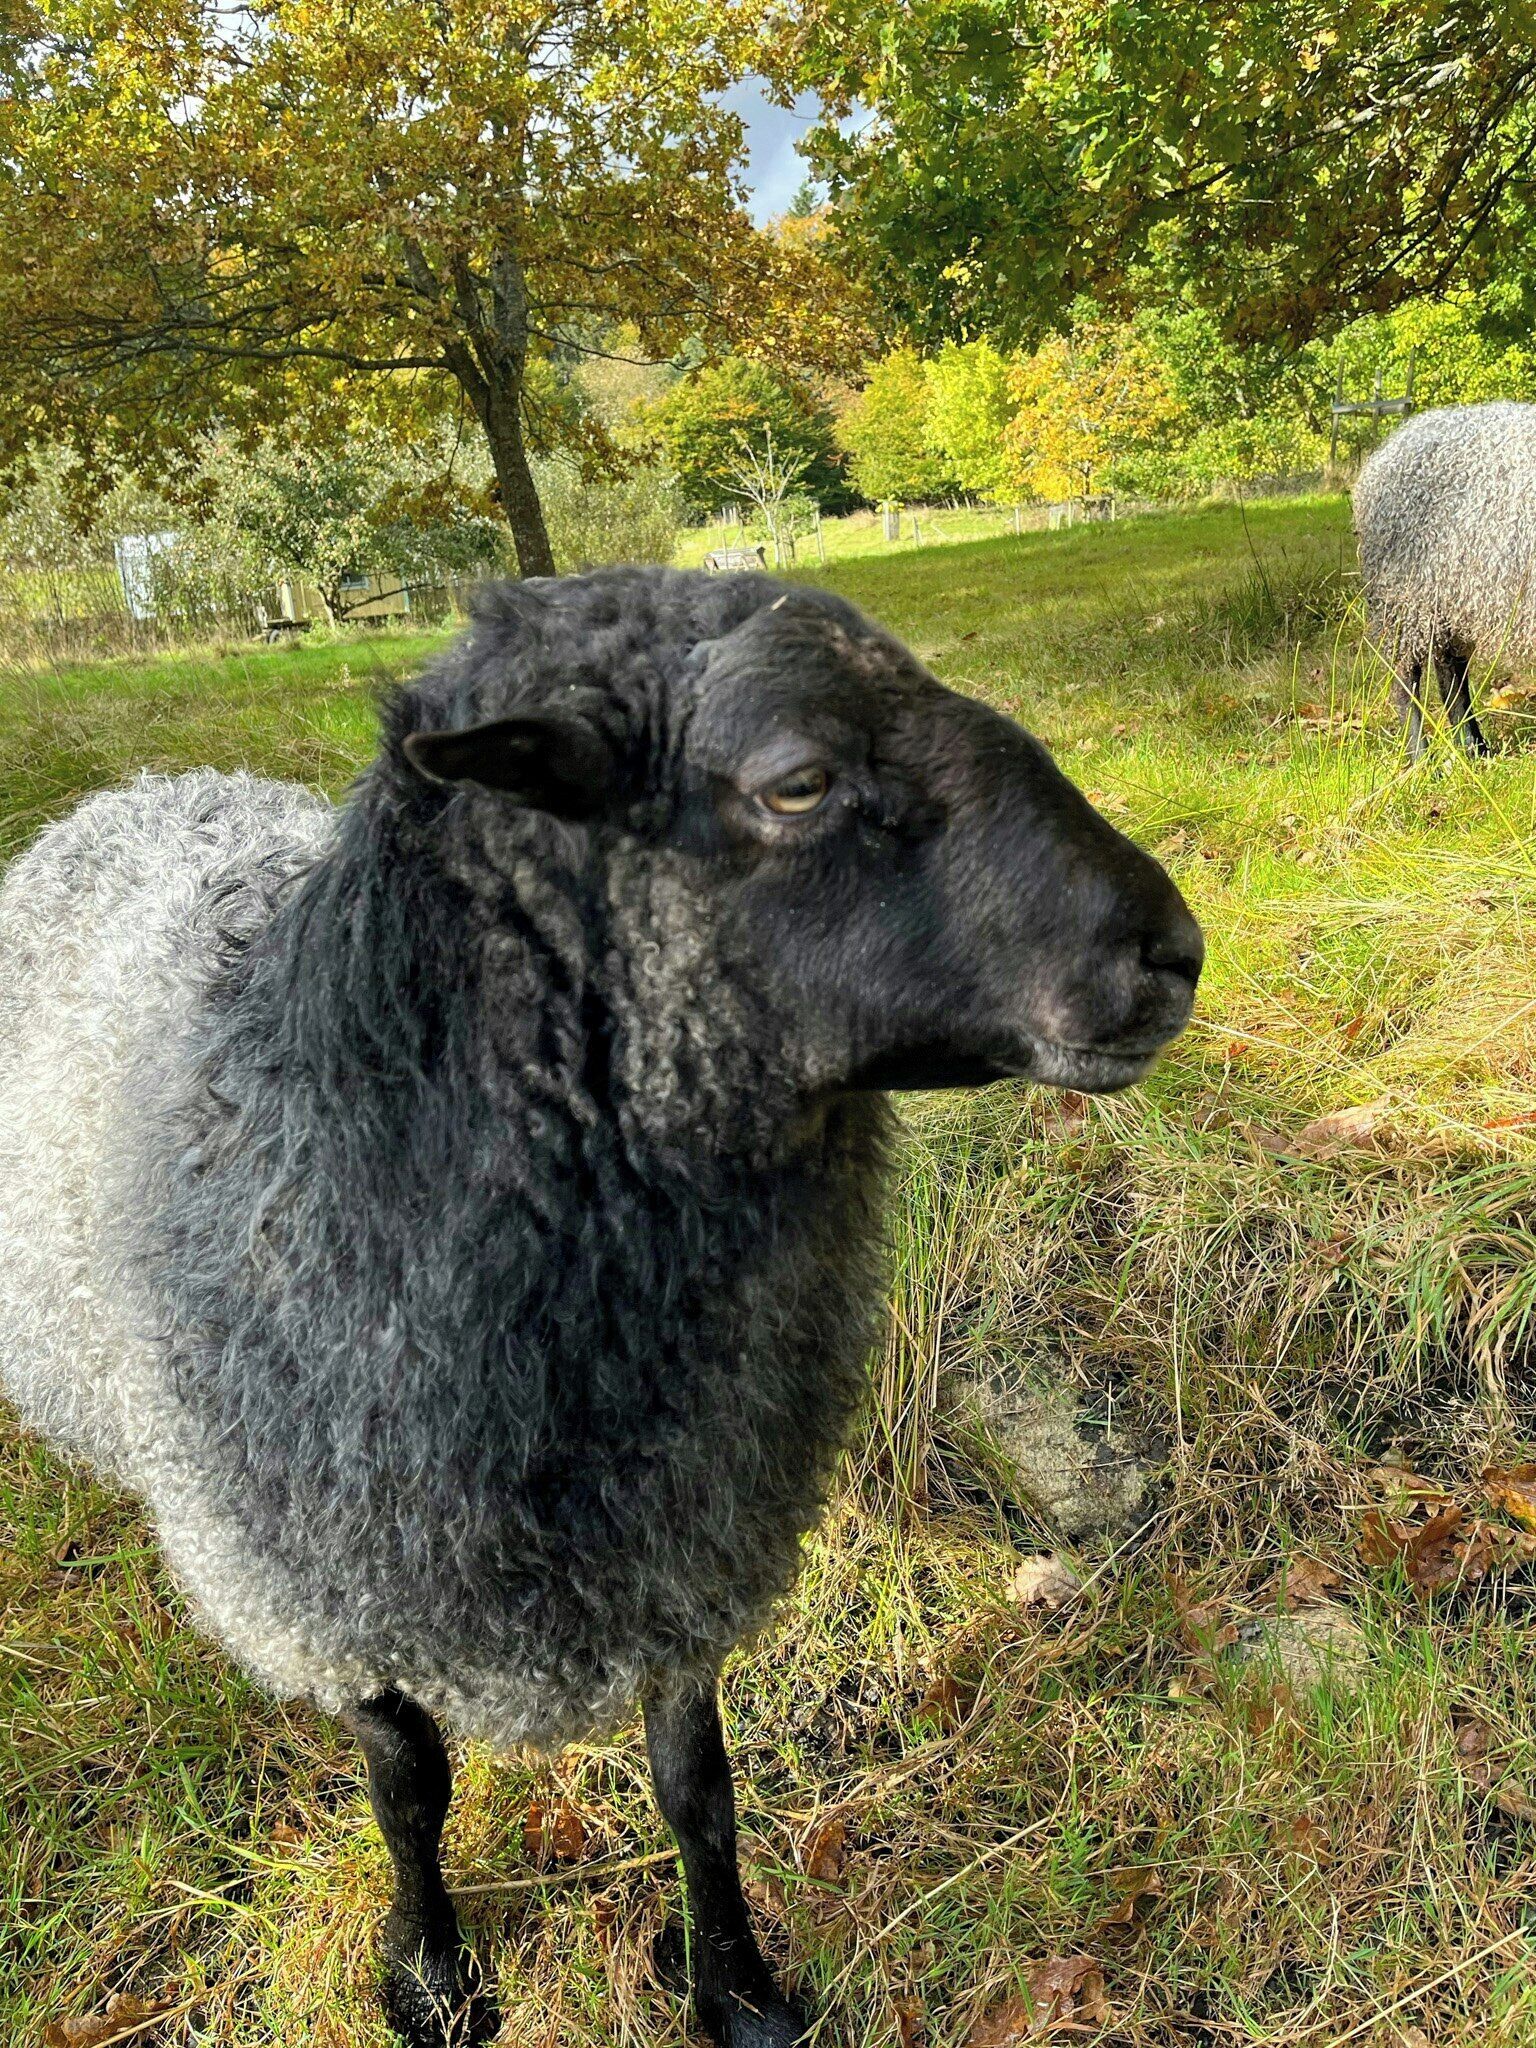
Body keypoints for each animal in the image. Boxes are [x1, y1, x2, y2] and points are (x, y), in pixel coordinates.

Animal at [0, 566, 1202, 2048]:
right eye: (799, 780)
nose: (1173, 954)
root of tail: (125, 796)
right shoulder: (326, 1584)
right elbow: (409, 1791)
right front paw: (432, 1975)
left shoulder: (687, 1521)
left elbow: (698, 1783)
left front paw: (737, 1987)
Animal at [1353, 400, 1536, 758]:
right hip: (1406, 598)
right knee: (1405, 677)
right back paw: (1420, 755)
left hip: (1451, 598)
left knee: (1450, 671)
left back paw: (1474, 747)